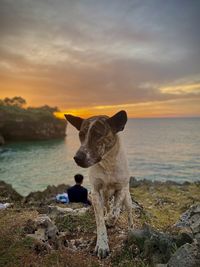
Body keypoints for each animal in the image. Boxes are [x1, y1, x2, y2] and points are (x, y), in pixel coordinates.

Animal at [65, 111, 134, 260]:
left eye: (98, 134)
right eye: (81, 134)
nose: (77, 158)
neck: (107, 163)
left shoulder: (121, 189)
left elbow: (115, 211)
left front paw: (111, 219)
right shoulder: (95, 193)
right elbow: (100, 221)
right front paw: (102, 245)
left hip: (128, 199)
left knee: (129, 213)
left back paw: (131, 229)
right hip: (105, 197)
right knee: (107, 206)